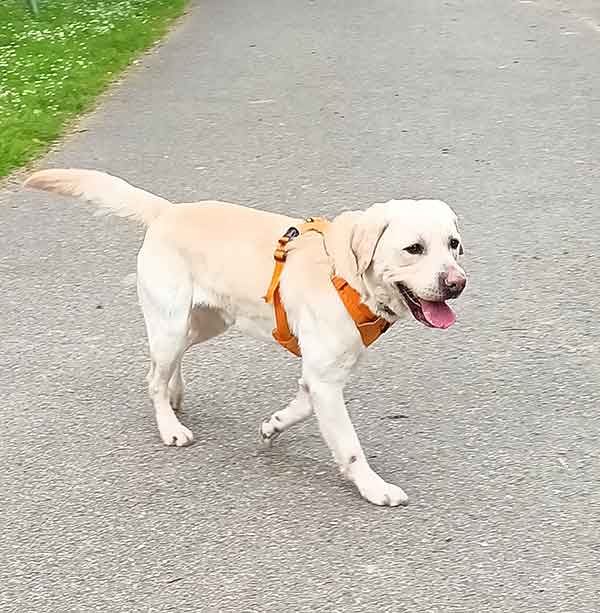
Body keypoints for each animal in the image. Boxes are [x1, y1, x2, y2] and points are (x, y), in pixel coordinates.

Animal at [25, 169, 466, 506]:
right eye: (414, 248)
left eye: (453, 244)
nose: (457, 283)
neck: (345, 275)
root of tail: (168, 211)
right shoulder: (325, 380)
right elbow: (351, 446)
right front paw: (375, 488)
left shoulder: (319, 376)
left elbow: (299, 410)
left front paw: (273, 425)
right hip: (170, 324)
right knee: (152, 378)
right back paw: (169, 426)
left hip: (205, 323)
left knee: (167, 366)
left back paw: (176, 394)